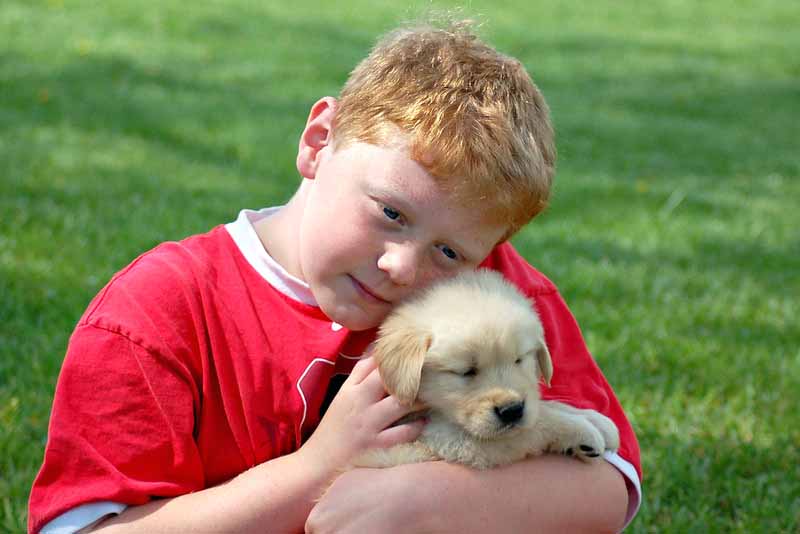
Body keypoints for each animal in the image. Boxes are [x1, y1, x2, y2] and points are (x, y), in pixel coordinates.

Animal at [354, 270, 620, 472]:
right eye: (467, 371)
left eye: (518, 360)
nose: (512, 410)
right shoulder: (445, 440)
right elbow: (533, 426)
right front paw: (582, 430)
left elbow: (543, 407)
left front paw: (596, 419)